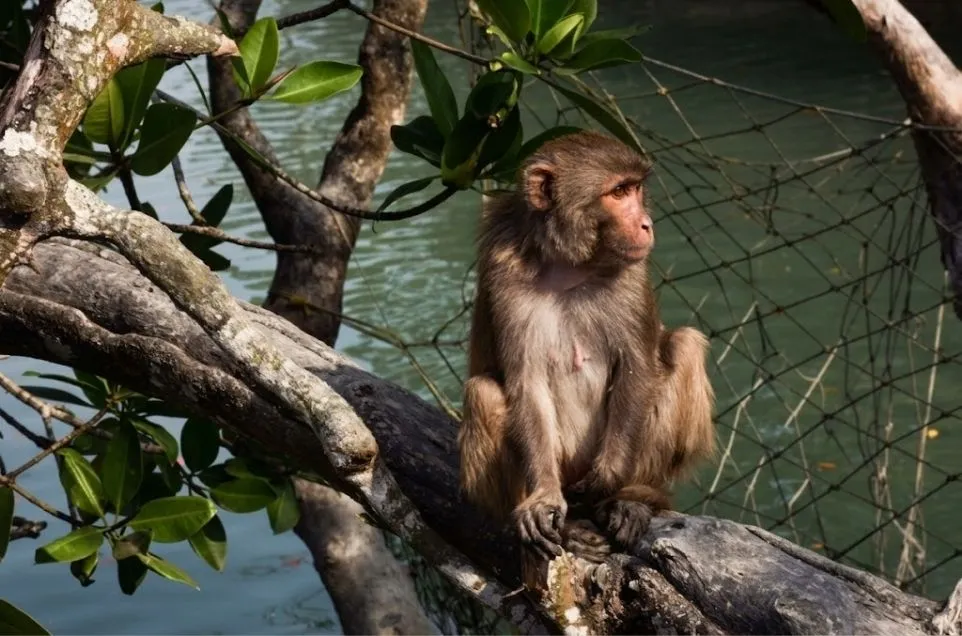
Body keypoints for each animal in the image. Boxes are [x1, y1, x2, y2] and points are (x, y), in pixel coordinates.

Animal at [458, 130, 715, 570]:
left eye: (635, 188)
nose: (646, 223)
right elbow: (526, 383)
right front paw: (543, 499)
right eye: (618, 192)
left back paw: (633, 498)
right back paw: (565, 528)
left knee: (684, 346)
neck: (570, 266)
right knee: (483, 392)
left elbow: (637, 369)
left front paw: (609, 479)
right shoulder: (504, 278)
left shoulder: (632, 274)